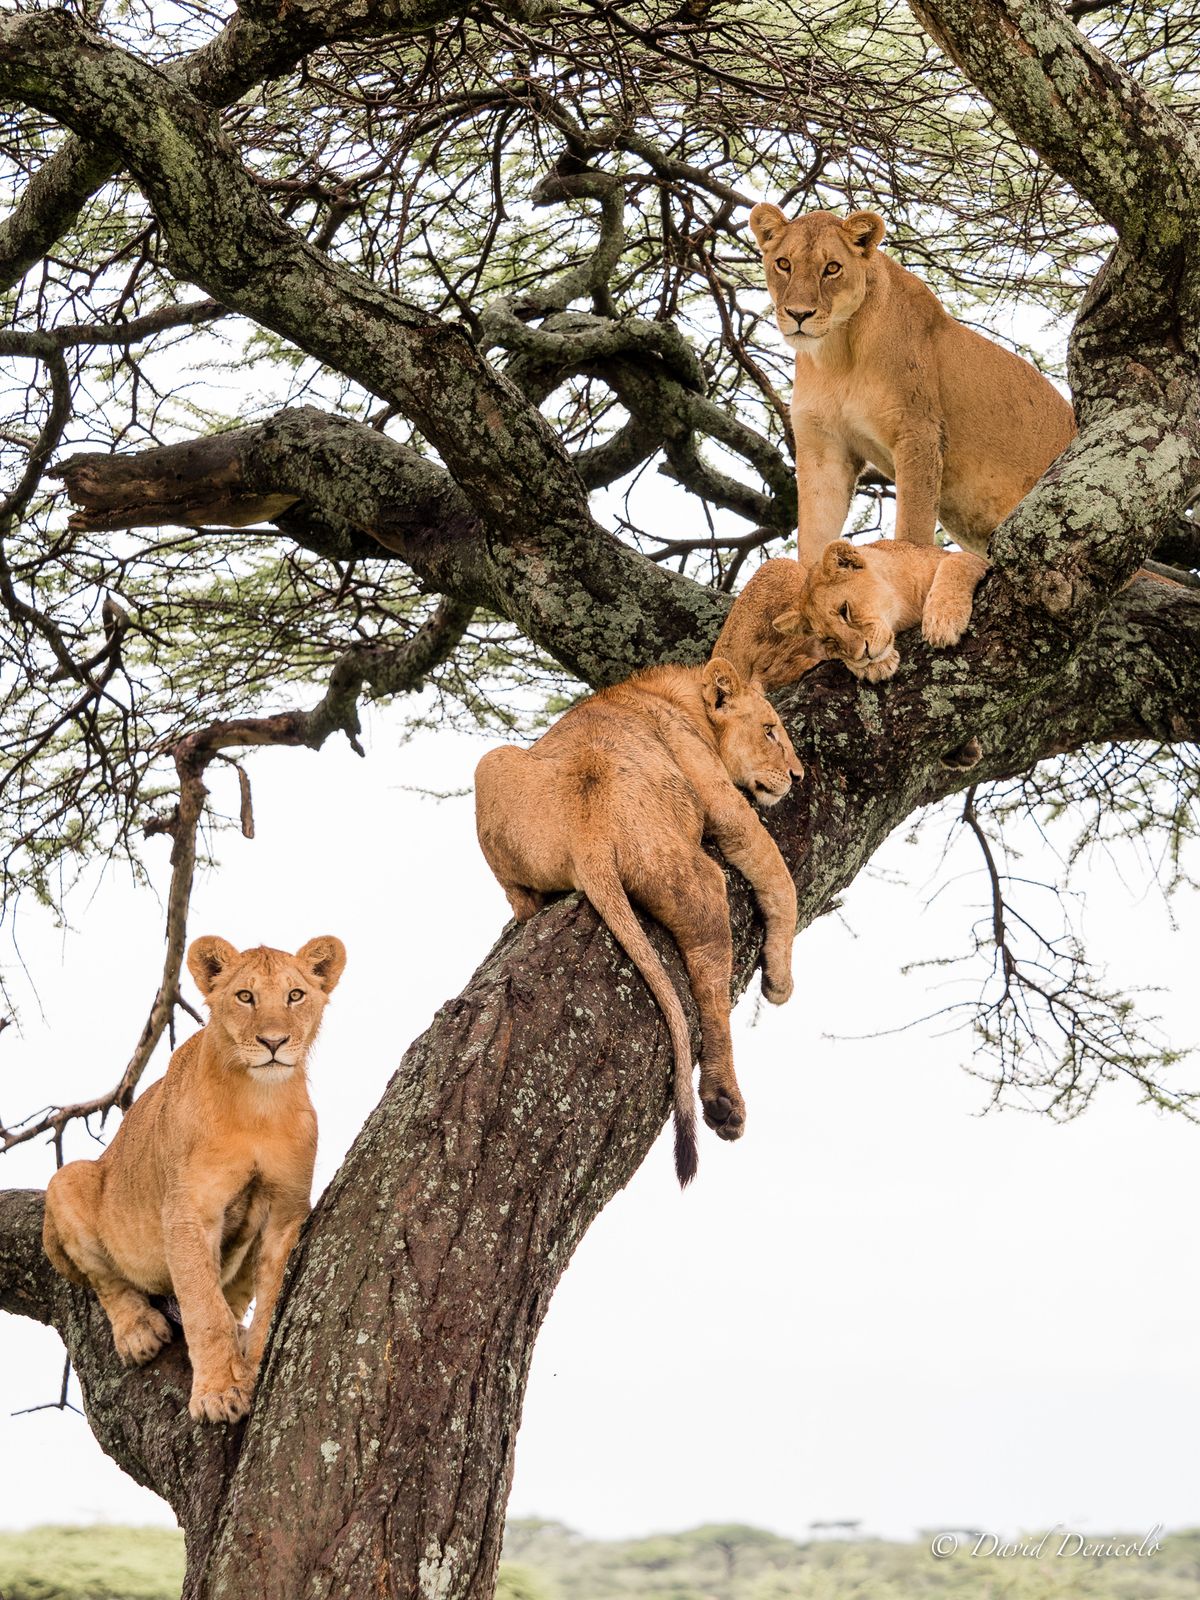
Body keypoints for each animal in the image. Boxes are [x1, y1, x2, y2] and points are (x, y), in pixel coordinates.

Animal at [43, 934, 346, 1424]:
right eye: (245, 996)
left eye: (295, 995)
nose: (274, 1041)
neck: (258, 1103)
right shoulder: (188, 1212)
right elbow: (204, 1308)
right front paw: (218, 1393)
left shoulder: (286, 1212)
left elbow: (267, 1299)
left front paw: (253, 1364)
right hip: (70, 1180)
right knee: (105, 1279)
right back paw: (139, 1331)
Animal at [474, 658, 801, 1184]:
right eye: (771, 730)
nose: (797, 775)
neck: (676, 699)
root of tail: (587, 834)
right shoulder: (722, 799)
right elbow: (780, 881)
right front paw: (780, 982)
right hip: (700, 877)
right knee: (712, 989)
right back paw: (724, 1099)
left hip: (490, 760)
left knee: (520, 898)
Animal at [748, 204, 1076, 565]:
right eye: (784, 264)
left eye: (832, 268)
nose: (799, 314)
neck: (835, 356)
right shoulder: (824, 447)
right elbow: (813, 538)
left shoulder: (918, 431)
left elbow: (912, 529)